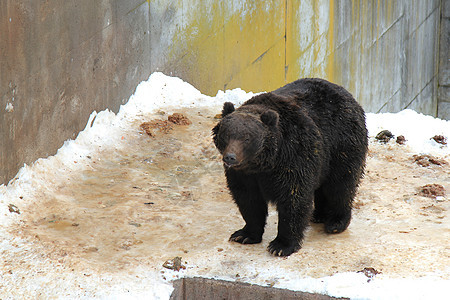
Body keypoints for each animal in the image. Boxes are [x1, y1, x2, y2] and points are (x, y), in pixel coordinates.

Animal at [213, 78, 368, 256]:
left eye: (246, 137)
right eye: (226, 134)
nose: (230, 157)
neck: (263, 163)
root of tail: (348, 95)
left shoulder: (294, 156)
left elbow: (293, 198)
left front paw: (281, 245)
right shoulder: (244, 175)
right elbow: (248, 199)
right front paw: (244, 235)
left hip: (341, 145)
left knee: (341, 185)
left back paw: (336, 222)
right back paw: (318, 215)